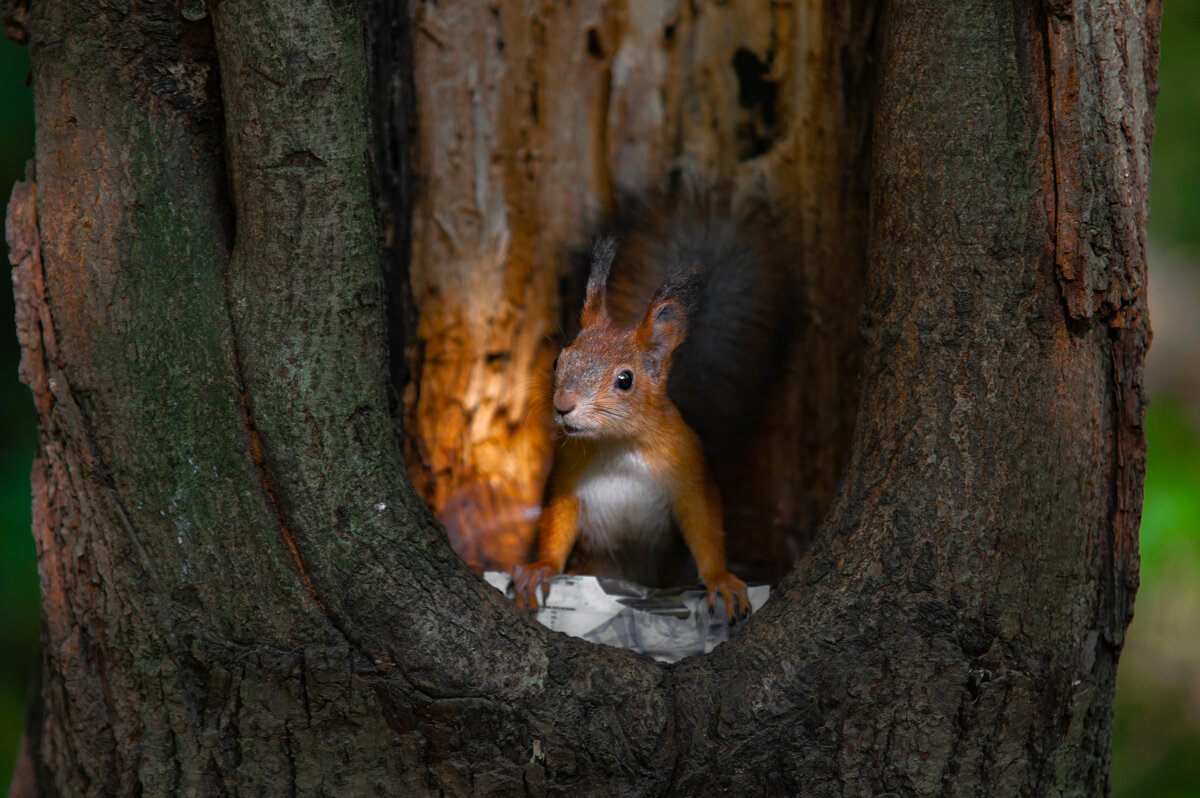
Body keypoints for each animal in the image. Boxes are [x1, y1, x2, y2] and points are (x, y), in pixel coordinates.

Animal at [516, 194, 787, 624]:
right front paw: (540, 568)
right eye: (559, 360)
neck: (620, 447)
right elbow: (556, 522)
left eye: (625, 380)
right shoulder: (568, 477)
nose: (563, 406)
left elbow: (703, 522)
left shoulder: (686, 467)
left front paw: (720, 578)